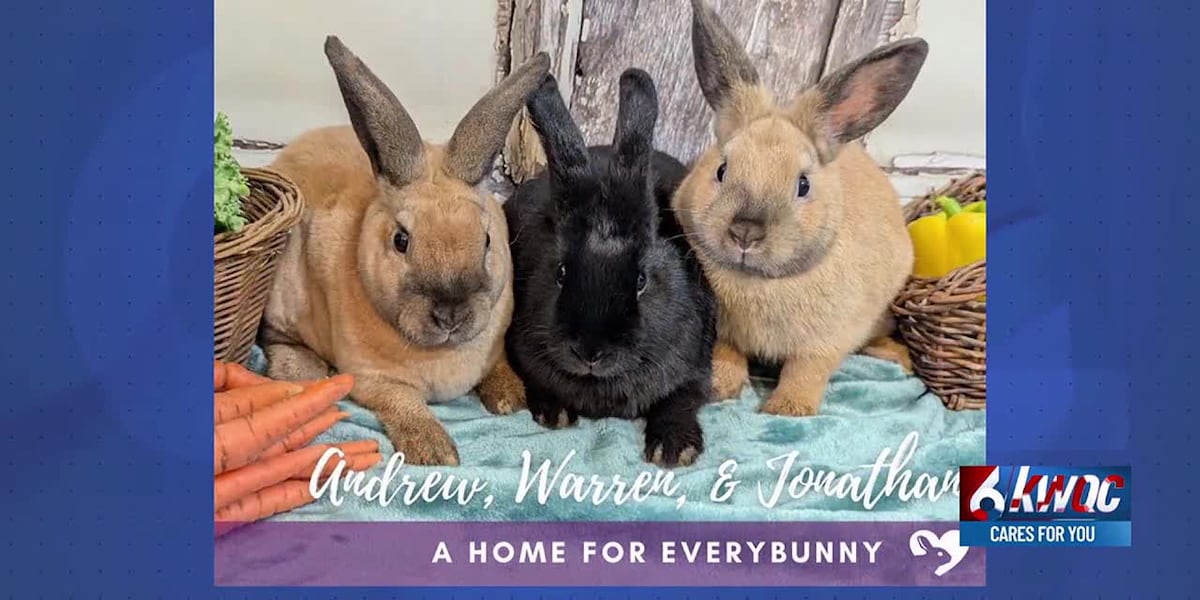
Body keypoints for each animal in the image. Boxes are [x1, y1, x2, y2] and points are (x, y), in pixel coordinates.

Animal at [259, 36, 550, 465]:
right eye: (401, 240)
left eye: (486, 240)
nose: (451, 314)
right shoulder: (371, 377)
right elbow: (404, 403)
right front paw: (434, 451)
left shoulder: (496, 344)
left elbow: (497, 365)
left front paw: (510, 398)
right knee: (276, 338)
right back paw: (303, 372)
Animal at [504, 68, 718, 467]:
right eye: (560, 273)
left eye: (641, 280)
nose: (590, 352)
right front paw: (555, 413)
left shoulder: (695, 369)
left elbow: (680, 400)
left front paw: (674, 449)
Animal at [672, 0, 930, 417]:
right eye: (721, 170)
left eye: (803, 185)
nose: (745, 232)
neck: (760, 281)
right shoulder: (723, 331)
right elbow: (727, 354)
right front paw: (720, 389)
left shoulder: (826, 341)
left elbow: (806, 371)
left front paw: (787, 410)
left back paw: (897, 357)